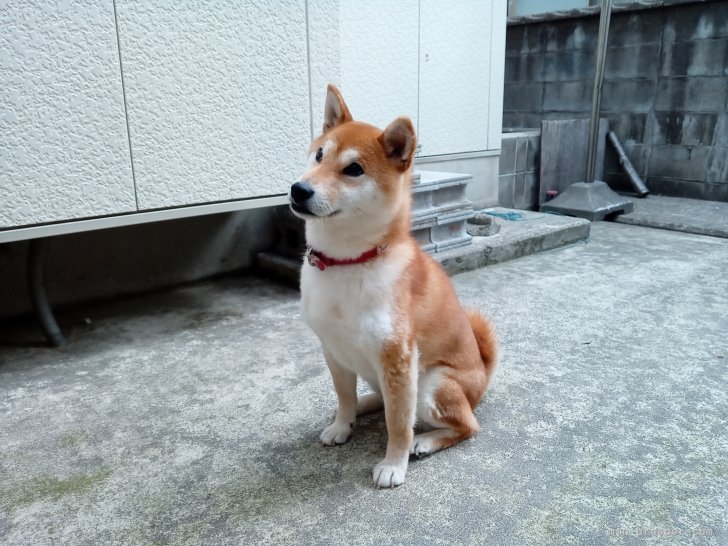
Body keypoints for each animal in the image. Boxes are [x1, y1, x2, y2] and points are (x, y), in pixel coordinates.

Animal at [290, 86, 500, 488]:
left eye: (354, 169)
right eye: (319, 154)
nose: (299, 189)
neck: (349, 262)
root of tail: (483, 374)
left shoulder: (398, 357)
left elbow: (399, 425)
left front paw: (393, 464)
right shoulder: (333, 348)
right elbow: (343, 396)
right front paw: (342, 424)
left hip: (434, 383)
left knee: (466, 425)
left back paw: (426, 441)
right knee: (377, 397)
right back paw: (366, 404)